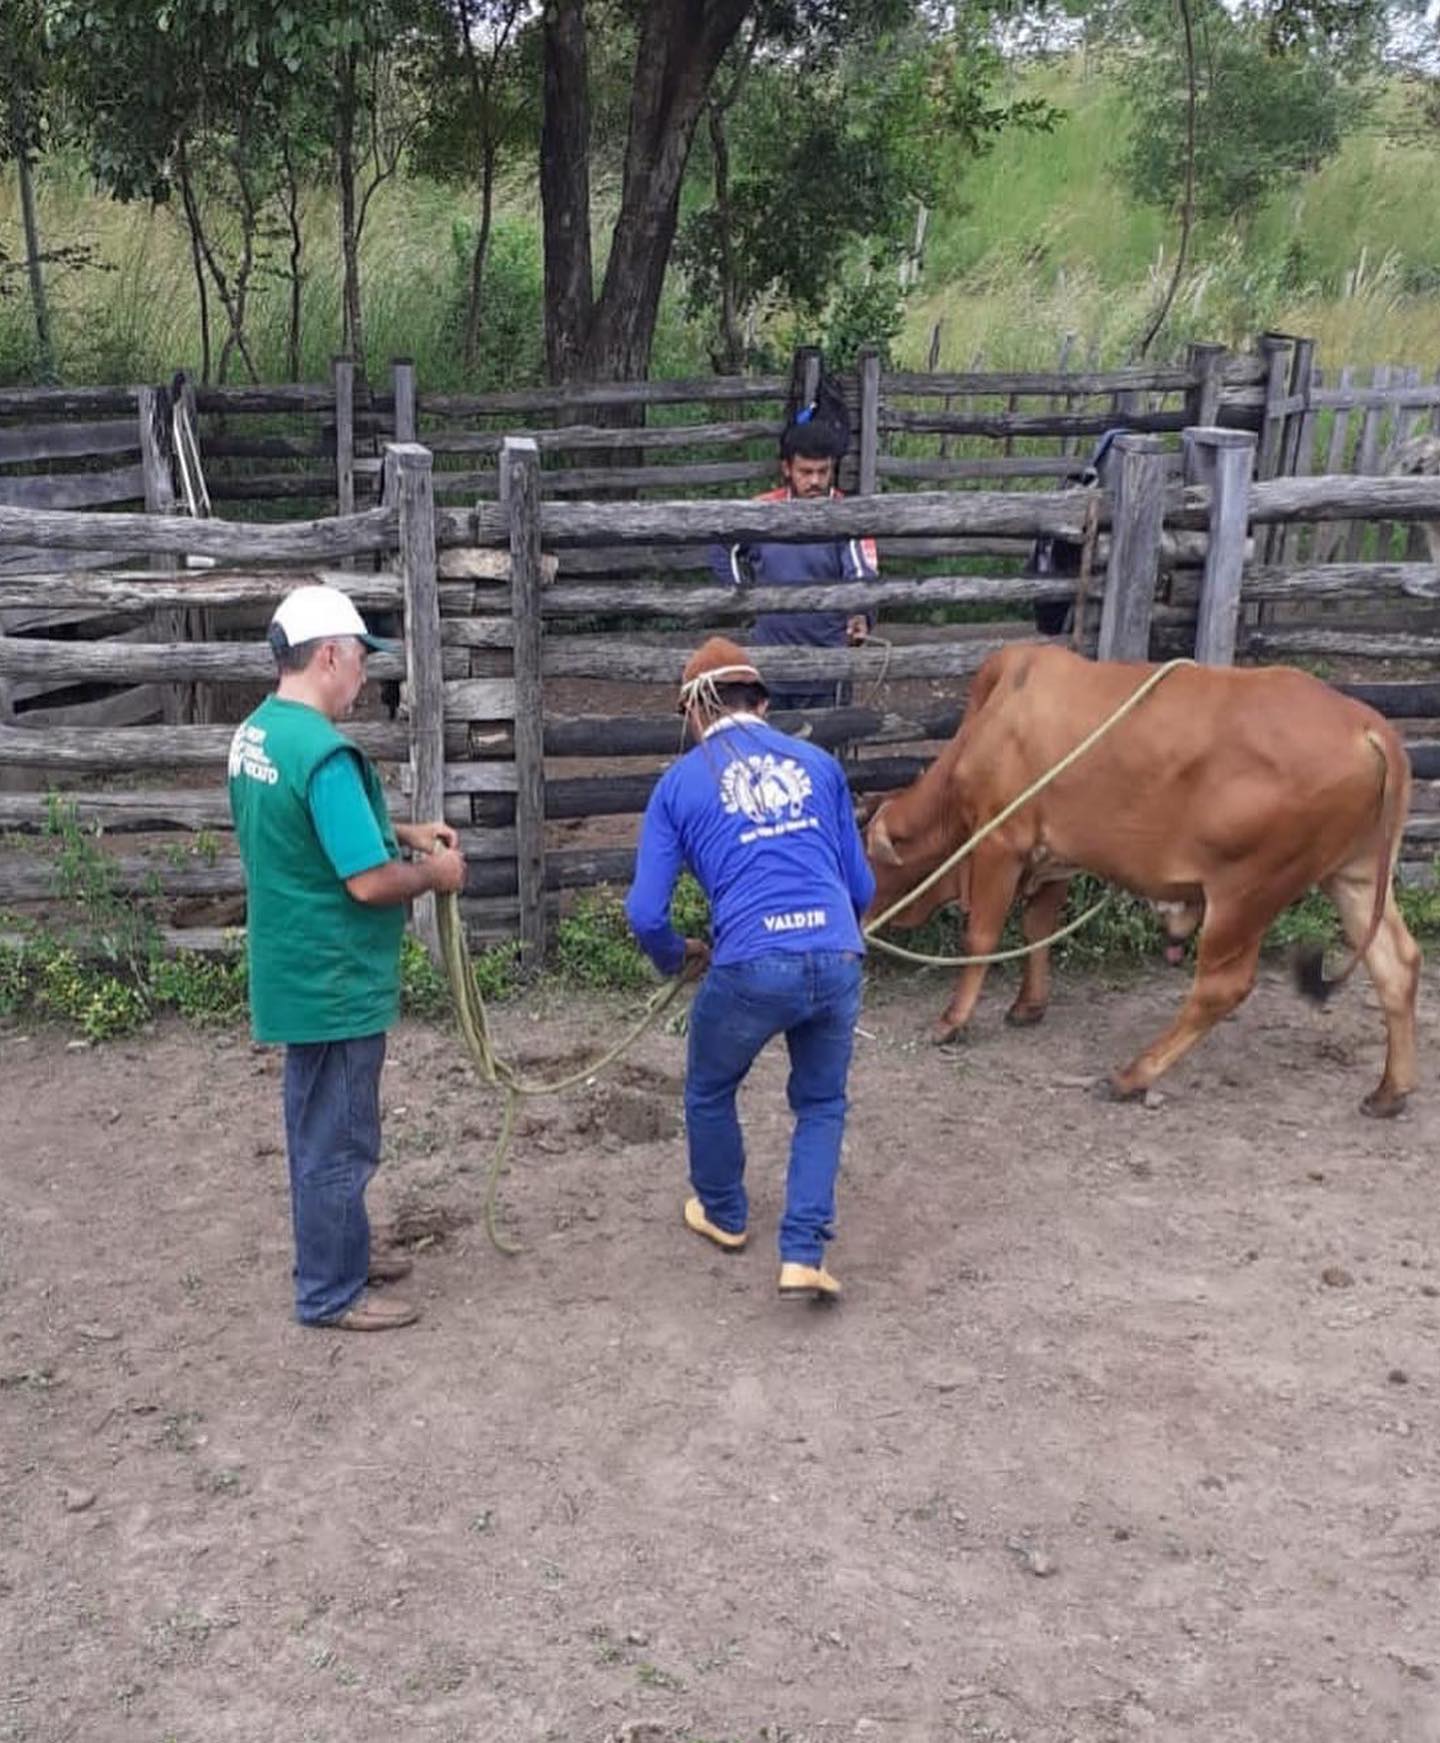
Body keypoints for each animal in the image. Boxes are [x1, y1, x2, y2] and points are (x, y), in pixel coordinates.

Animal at [864, 644, 1415, 1115]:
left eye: (869, 854)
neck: (995, 719)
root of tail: (1367, 726)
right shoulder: (1054, 855)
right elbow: (1038, 929)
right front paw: (1027, 1006)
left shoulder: (1001, 843)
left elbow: (980, 935)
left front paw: (951, 1022)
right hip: (1354, 877)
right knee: (1398, 966)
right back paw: (1389, 1092)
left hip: (1245, 893)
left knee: (1221, 987)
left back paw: (1133, 1075)